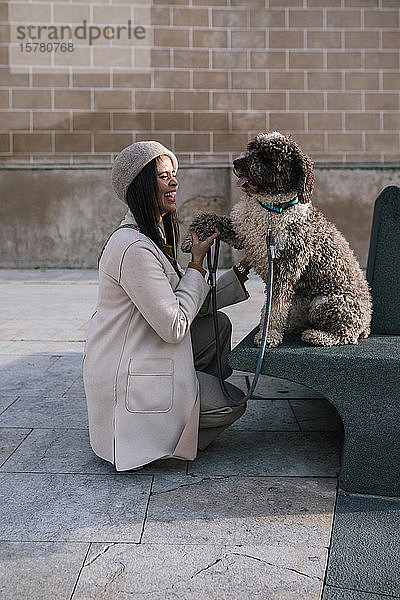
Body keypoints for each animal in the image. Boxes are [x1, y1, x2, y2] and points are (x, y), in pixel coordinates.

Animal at [181, 131, 372, 346]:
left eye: (267, 157)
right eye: (251, 147)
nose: (236, 162)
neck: (271, 210)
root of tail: (367, 321)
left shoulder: (284, 268)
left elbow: (275, 305)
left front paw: (269, 335)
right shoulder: (242, 232)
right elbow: (208, 217)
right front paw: (190, 240)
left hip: (329, 302)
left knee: (346, 333)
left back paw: (318, 335)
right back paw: (299, 326)